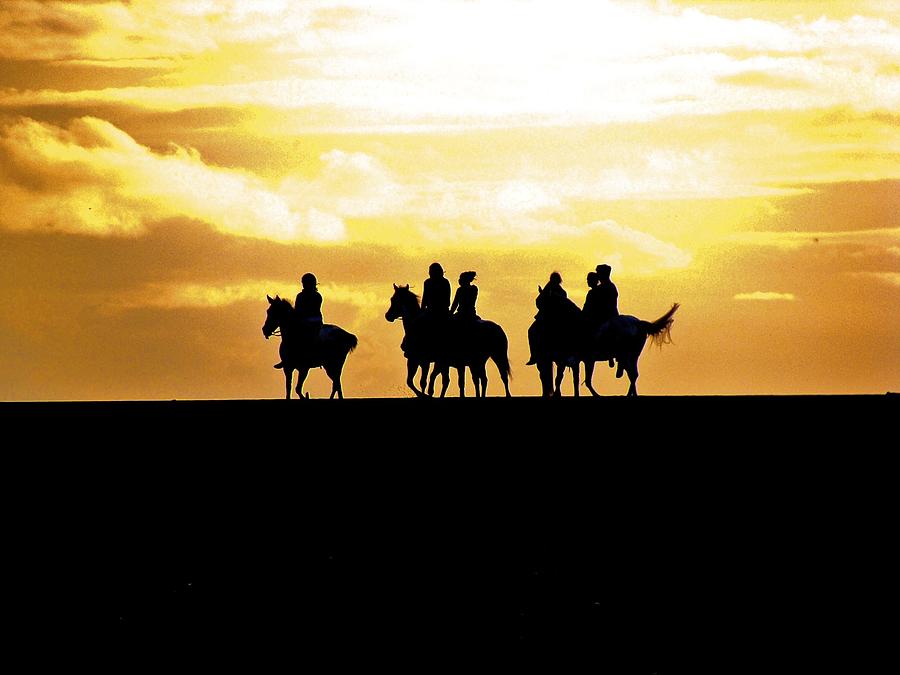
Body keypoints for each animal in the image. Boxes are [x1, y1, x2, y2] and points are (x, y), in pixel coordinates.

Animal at [384, 284, 512, 398]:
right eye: (391, 299)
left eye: (395, 300)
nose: (387, 316)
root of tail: (498, 327)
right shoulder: (420, 360)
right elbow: (414, 381)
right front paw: (426, 394)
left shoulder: (424, 360)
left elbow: (422, 381)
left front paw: (425, 395)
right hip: (479, 361)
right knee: (483, 379)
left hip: (498, 355)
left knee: (503, 376)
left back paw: (508, 395)